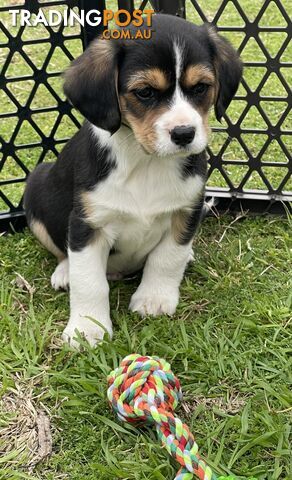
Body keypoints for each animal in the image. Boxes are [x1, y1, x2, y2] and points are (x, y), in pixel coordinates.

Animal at [24, 13, 242, 346]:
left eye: (201, 87)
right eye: (145, 92)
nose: (184, 134)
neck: (146, 161)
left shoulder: (186, 211)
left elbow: (168, 257)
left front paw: (154, 299)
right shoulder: (88, 223)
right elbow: (89, 281)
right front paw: (87, 328)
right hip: (36, 188)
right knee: (63, 249)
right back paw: (64, 272)